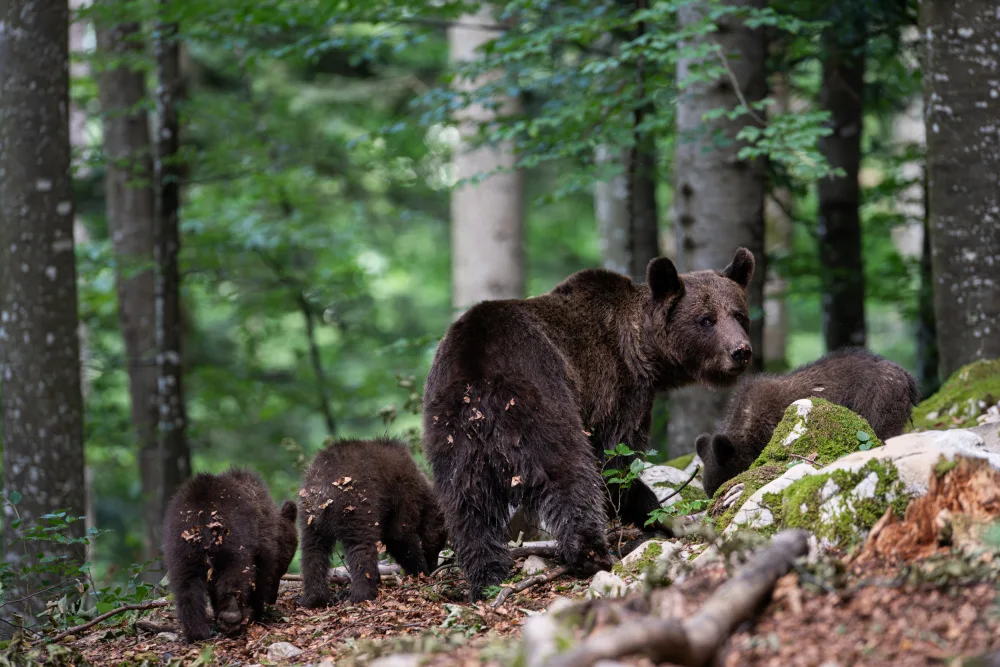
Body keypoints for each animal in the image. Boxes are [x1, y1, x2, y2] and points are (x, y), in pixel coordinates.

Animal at [162, 467, 298, 642]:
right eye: (282, 569)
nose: (273, 598)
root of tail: (201, 517)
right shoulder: (262, 544)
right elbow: (259, 576)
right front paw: (257, 612)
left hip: (181, 548)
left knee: (186, 586)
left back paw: (197, 631)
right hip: (231, 541)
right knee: (233, 575)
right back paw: (231, 616)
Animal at [296, 437, 448, 607]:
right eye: (440, 543)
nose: (434, 566)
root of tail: (323, 494)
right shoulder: (403, 493)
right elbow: (398, 535)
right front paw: (419, 570)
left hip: (310, 519)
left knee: (312, 551)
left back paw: (313, 598)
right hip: (355, 507)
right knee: (362, 548)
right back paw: (363, 594)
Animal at [421, 249, 756, 600]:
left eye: (739, 315)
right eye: (706, 319)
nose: (740, 351)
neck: (645, 352)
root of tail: (478, 373)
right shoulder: (618, 390)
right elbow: (617, 461)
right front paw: (653, 514)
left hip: (451, 429)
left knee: (466, 504)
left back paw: (486, 576)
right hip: (540, 395)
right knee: (568, 471)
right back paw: (590, 554)